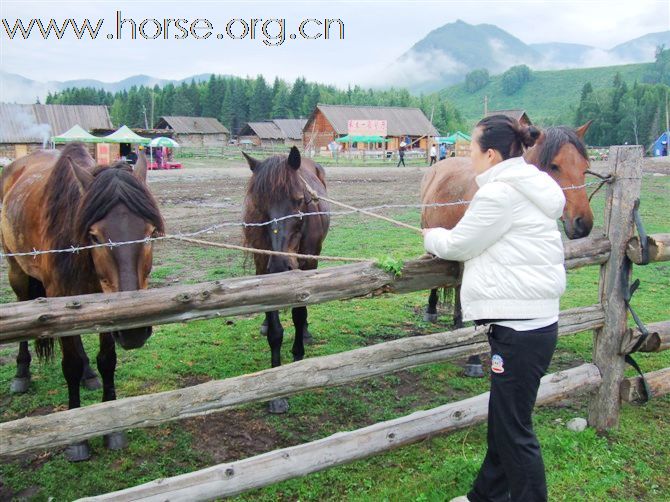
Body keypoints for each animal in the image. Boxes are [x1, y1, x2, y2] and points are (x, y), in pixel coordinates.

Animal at [1, 143, 165, 460]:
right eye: (95, 235)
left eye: (150, 232)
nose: (134, 331)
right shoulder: (61, 299)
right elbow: (71, 363)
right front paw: (77, 438)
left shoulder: (105, 301)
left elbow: (107, 360)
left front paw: (112, 428)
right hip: (17, 270)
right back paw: (22, 372)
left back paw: (89, 376)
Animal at [245, 145, 332, 412]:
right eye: (259, 205)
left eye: (299, 200)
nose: (281, 265)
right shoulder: (263, 267)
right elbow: (275, 330)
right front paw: (276, 392)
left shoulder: (308, 265)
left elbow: (299, 313)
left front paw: (298, 354)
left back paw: (305, 333)